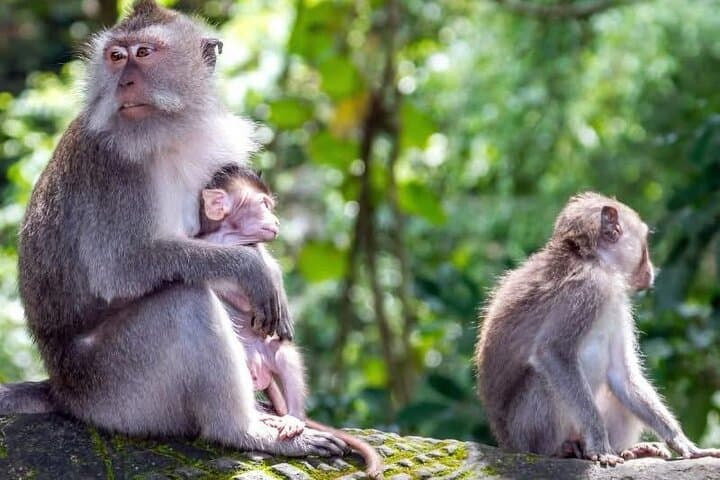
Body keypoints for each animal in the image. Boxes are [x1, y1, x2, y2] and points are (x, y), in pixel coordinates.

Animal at [1, 0, 347, 459]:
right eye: (116, 56)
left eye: (144, 53)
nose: (125, 81)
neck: (165, 135)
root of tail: (60, 389)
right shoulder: (116, 169)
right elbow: (121, 268)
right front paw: (254, 269)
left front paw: (265, 266)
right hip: (119, 392)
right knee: (183, 301)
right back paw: (242, 430)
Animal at [196, 165, 384, 479]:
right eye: (263, 204)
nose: (275, 220)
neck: (228, 237)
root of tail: (259, 373)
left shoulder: (252, 247)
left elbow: (269, 270)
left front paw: (280, 301)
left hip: (268, 355)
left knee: (284, 354)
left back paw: (293, 418)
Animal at [475, 192, 720, 466]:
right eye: (644, 244)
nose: (651, 270)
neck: (594, 260)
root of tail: (507, 443)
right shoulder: (588, 289)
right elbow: (553, 353)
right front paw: (600, 444)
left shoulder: (616, 303)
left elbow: (621, 374)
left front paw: (682, 442)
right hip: (526, 433)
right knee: (543, 379)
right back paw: (560, 450)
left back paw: (631, 450)